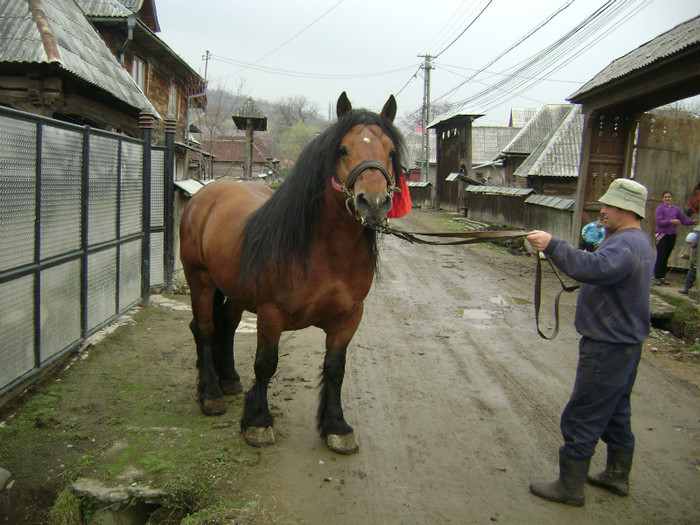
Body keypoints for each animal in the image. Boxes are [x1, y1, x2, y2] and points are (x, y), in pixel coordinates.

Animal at [178, 92, 402, 452]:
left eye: (391, 152)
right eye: (342, 149)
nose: (374, 203)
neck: (325, 251)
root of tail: (205, 195)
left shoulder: (349, 316)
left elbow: (335, 368)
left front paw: (336, 426)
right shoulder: (272, 313)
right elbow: (266, 364)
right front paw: (258, 421)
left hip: (236, 291)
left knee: (226, 324)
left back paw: (230, 380)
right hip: (200, 281)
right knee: (205, 329)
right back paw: (211, 394)